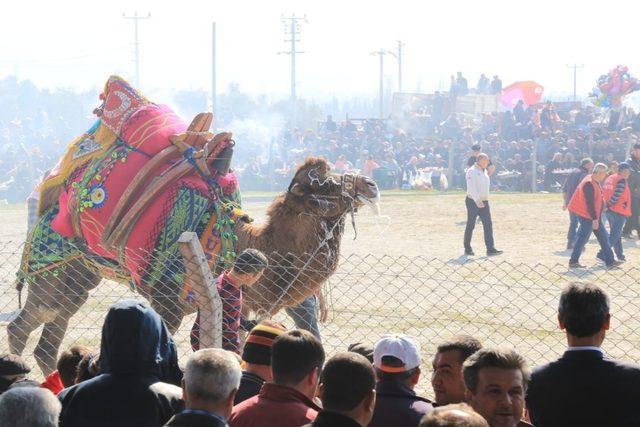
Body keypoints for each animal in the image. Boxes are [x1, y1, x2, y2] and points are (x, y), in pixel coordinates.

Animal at [7, 77, 378, 374]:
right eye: (323, 184)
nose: (370, 184)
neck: (237, 240)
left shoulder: (237, 303)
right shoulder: (167, 298)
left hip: (79, 274)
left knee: (49, 335)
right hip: (50, 265)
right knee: (24, 325)